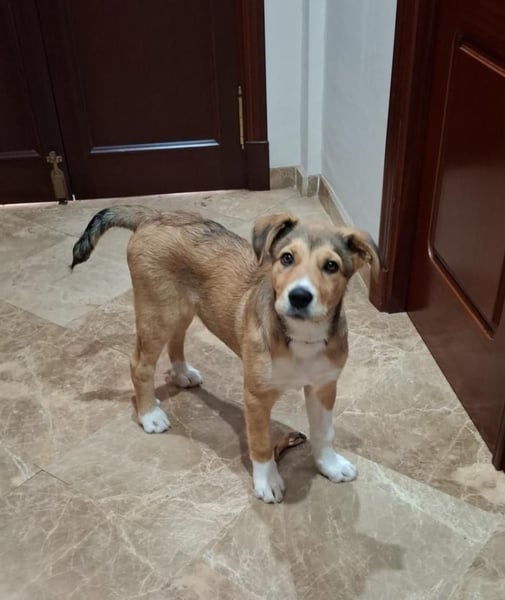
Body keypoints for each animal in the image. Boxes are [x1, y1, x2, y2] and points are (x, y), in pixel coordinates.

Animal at [71, 206, 379, 503]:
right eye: (287, 258)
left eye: (331, 266)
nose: (299, 297)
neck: (301, 336)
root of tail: (153, 215)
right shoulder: (256, 397)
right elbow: (261, 443)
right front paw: (267, 482)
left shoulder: (323, 386)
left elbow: (324, 432)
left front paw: (330, 465)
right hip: (157, 312)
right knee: (139, 364)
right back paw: (149, 414)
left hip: (183, 308)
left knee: (176, 340)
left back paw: (182, 374)